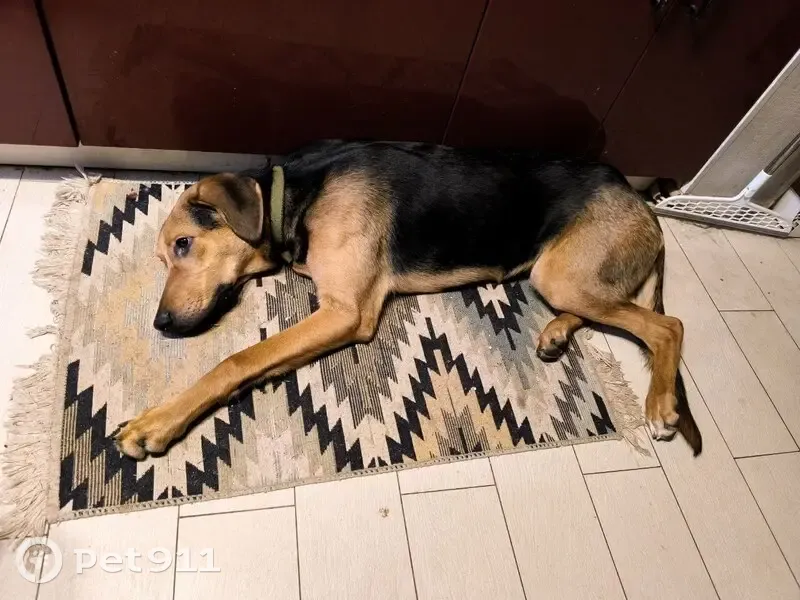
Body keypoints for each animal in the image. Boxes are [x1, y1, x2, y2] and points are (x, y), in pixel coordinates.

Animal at [113, 140, 702, 459]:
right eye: (164, 257)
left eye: (184, 245)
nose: (161, 324)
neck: (294, 196)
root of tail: (641, 200)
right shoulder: (331, 314)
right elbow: (255, 363)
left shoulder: (345, 311)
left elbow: (235, 360)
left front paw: (154, 424)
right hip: (558, 275)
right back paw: (557, 333)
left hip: (561, 274)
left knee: (668, 324)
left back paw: (660, 406)